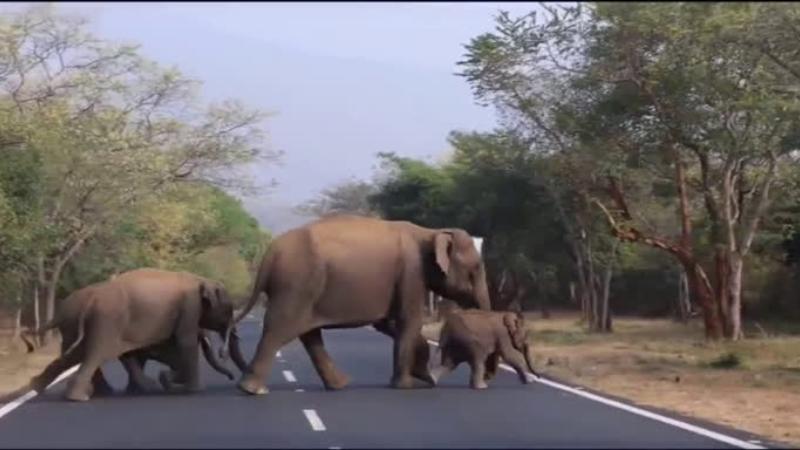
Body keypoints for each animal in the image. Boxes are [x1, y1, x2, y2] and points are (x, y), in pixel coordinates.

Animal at [23, 268, 248, 401]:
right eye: (228, 310)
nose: (232, 377)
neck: (201, 279)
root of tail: (92, 299)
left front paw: (164, 382)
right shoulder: (189, 307)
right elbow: (185, 342)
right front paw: (195, 390)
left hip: (85, 325)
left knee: (74, 355)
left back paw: (37, 387)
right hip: (107, 322)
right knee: (95, 354)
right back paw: (80, 397)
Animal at [226, 214, 491, 396]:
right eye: (476, 268)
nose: (486, 382)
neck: (431, 232)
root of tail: (269, 254)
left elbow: (388, 324)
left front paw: (423, 377)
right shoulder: (411, 272)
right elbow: (409, 320)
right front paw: (407, 385)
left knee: (308, 333)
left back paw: (339, 385)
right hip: (297, 284)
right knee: (280, 329)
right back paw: (253, 390)